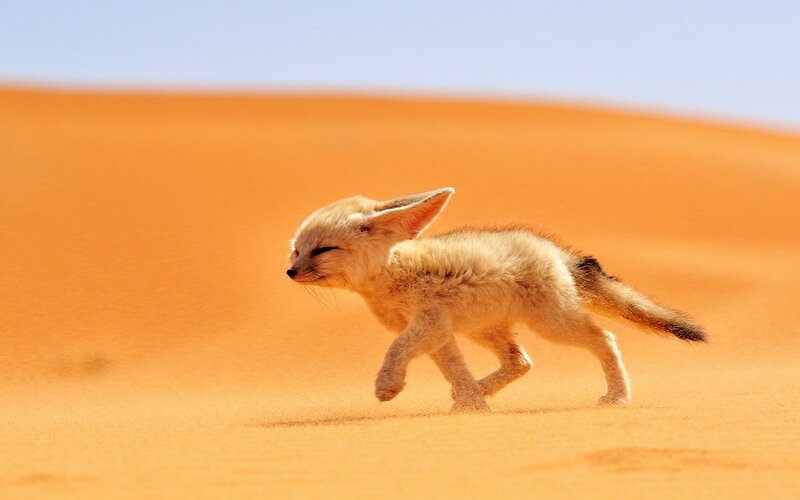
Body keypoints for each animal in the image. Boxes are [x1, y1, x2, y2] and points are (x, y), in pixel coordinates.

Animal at [287, 187, 706, 412]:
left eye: (323, 250)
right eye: (296, 250)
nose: (290, 272)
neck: (392, 273)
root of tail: (555, 251)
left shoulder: (428, 324)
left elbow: (396, 349)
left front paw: (388, 385)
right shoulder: (440, 332)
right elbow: (454, 369)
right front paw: (472, 405)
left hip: (552, 325)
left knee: (604, 338)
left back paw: (618, 396)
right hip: (484, 330)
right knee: (521, 361)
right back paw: (477, 391)